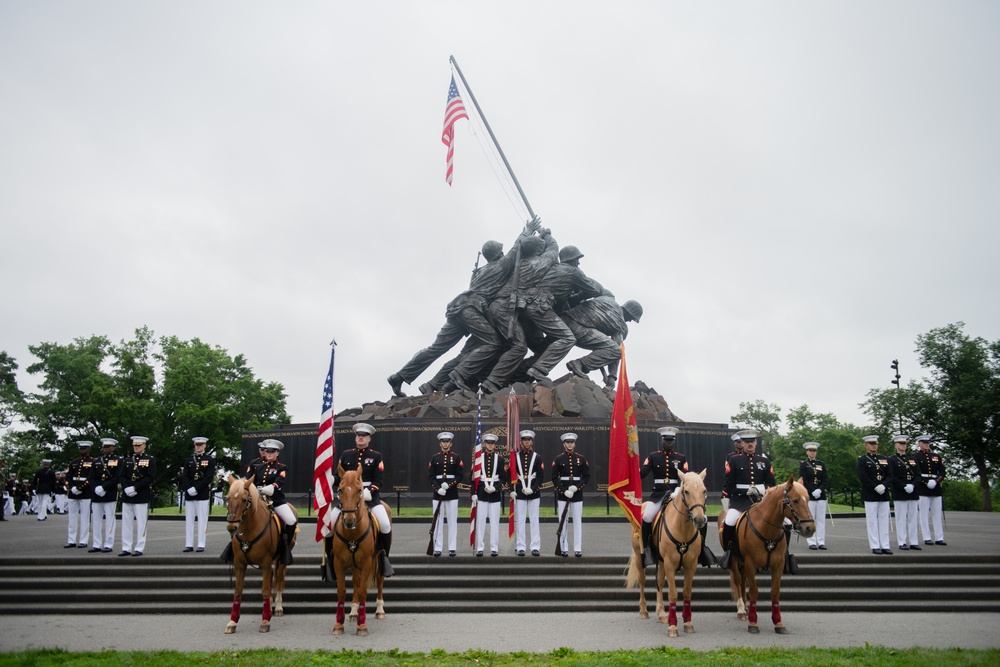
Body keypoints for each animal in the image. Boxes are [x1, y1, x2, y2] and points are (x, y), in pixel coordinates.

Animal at [222, 472, 294, 636]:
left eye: (244, 499)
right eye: (228, 499)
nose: (231, 527)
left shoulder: (265, 563)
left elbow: (265, 590)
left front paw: (265, 621)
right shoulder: (239, 564)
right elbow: (238, 591)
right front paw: (232, 621)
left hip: (281, 560)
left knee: (279, 580)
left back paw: (278, 607)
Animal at [328, 464, 390, 636]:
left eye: (360, 490)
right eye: (340, 490)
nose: (349, 520)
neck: (352, 533)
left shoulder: (368, 562)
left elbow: (363, 590)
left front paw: (362, 626)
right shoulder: (338, 563)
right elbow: (342, 590)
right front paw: (338, 624)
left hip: (379, 559)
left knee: (380, 580)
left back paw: (379, 610)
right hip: (354, 564)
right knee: (356, 581)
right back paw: (354, 612)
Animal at [624, 470, 712, 636]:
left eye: (704, 491)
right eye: (686, 491)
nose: (699, 520)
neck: (682, 529)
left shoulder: (691, 564)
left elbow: (686, 592)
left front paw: (687, 622)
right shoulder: (670, 563)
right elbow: (672, 593)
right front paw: (673, 626)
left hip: (661, 561)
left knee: (659, 582)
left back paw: (661, 613)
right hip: (640, 556)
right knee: (642, 580)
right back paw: (644, 610)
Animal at [720, 474, 812, 636]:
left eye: (807, 499)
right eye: (795, 500)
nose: (810, 528)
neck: (767, 528)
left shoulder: (778, 565)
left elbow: (775, 592)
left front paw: (778, 623)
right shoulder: (750, 563)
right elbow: (754, 591)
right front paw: (753, 623)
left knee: (743, 582)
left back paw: (746, 607)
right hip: (735, 561)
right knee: (738, 581)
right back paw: (741, 609)